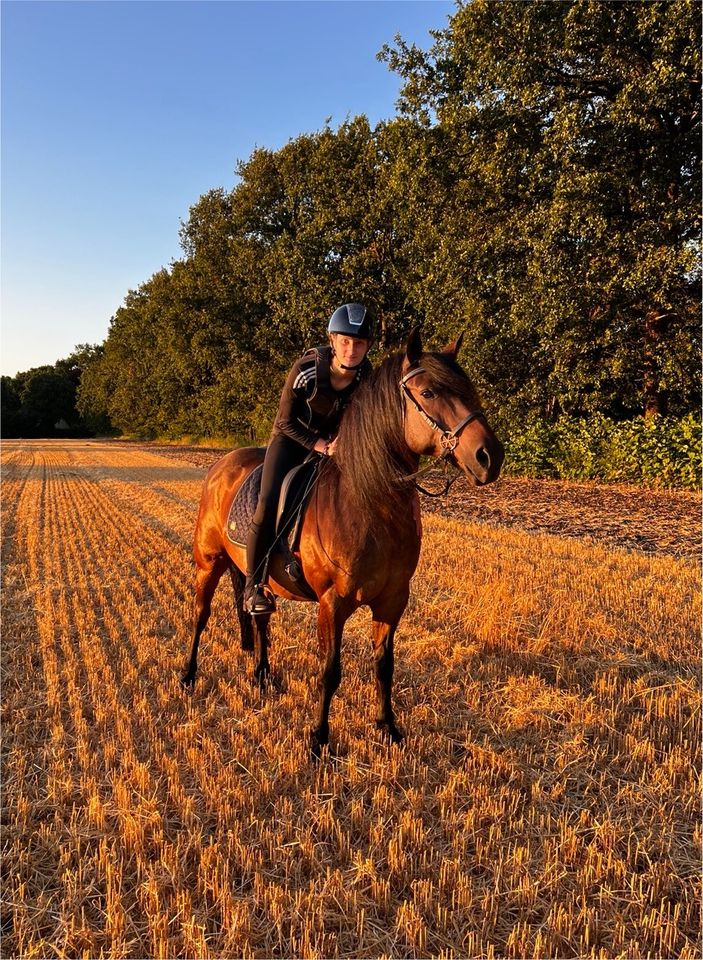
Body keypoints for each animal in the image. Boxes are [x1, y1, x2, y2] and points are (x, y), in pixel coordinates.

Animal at [180, 330, 500, 756]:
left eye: (469, 388)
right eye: (429, 392)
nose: (490, 456)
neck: (367, 503)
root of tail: (222, 464)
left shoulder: (392, 601)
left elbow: (384, 666)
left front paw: (388, 727)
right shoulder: (332, 604)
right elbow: (330, 671)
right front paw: (318, 738)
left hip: (257, 579)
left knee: (260, 618)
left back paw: (263, 675)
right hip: (209, 562)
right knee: (200, 615)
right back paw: (188, 675)